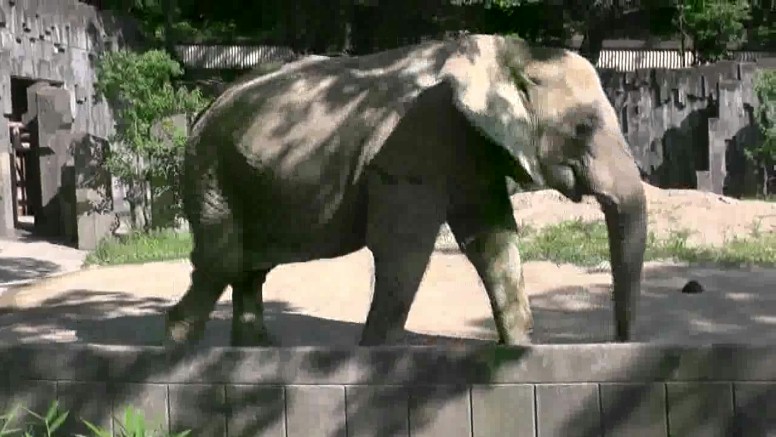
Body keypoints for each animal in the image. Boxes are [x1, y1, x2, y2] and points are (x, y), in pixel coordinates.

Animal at [164, 33, 647, 347]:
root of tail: (205, 107)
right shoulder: (413, 142)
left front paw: (519, 353)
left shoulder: (471, 151)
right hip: (210, 170)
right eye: (583, 128)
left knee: (247, 268)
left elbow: (493, 240)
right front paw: (374, 356)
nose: (619, 341)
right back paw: (175, 347)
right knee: (221, 261)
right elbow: (404, 250)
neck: (507, 55)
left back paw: (252, 351)